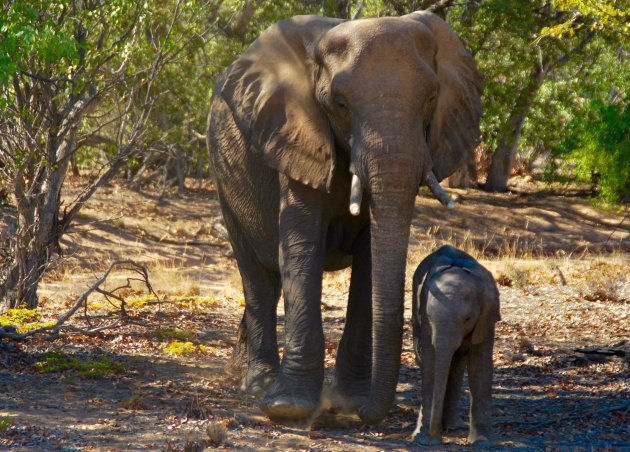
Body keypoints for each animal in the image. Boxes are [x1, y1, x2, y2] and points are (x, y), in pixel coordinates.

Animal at [209, 11, 484, 428]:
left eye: (432, 99)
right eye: (339, 103)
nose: (365, 415)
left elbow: (371, 259)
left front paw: (349, 401)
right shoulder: (295, 133)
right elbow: (302, 248)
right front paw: (288, 408)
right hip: (225, 176)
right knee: (257, 276)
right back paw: (257, 386)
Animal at [410, 244, 504, 444]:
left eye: (467, 319)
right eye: (429, 317)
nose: (436, 436)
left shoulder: (486, 316)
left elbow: (480, 364)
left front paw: (481, 441)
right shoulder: (424, 313)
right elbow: (431, 362)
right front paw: (423, 439)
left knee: (457, 363)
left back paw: (453, 426)